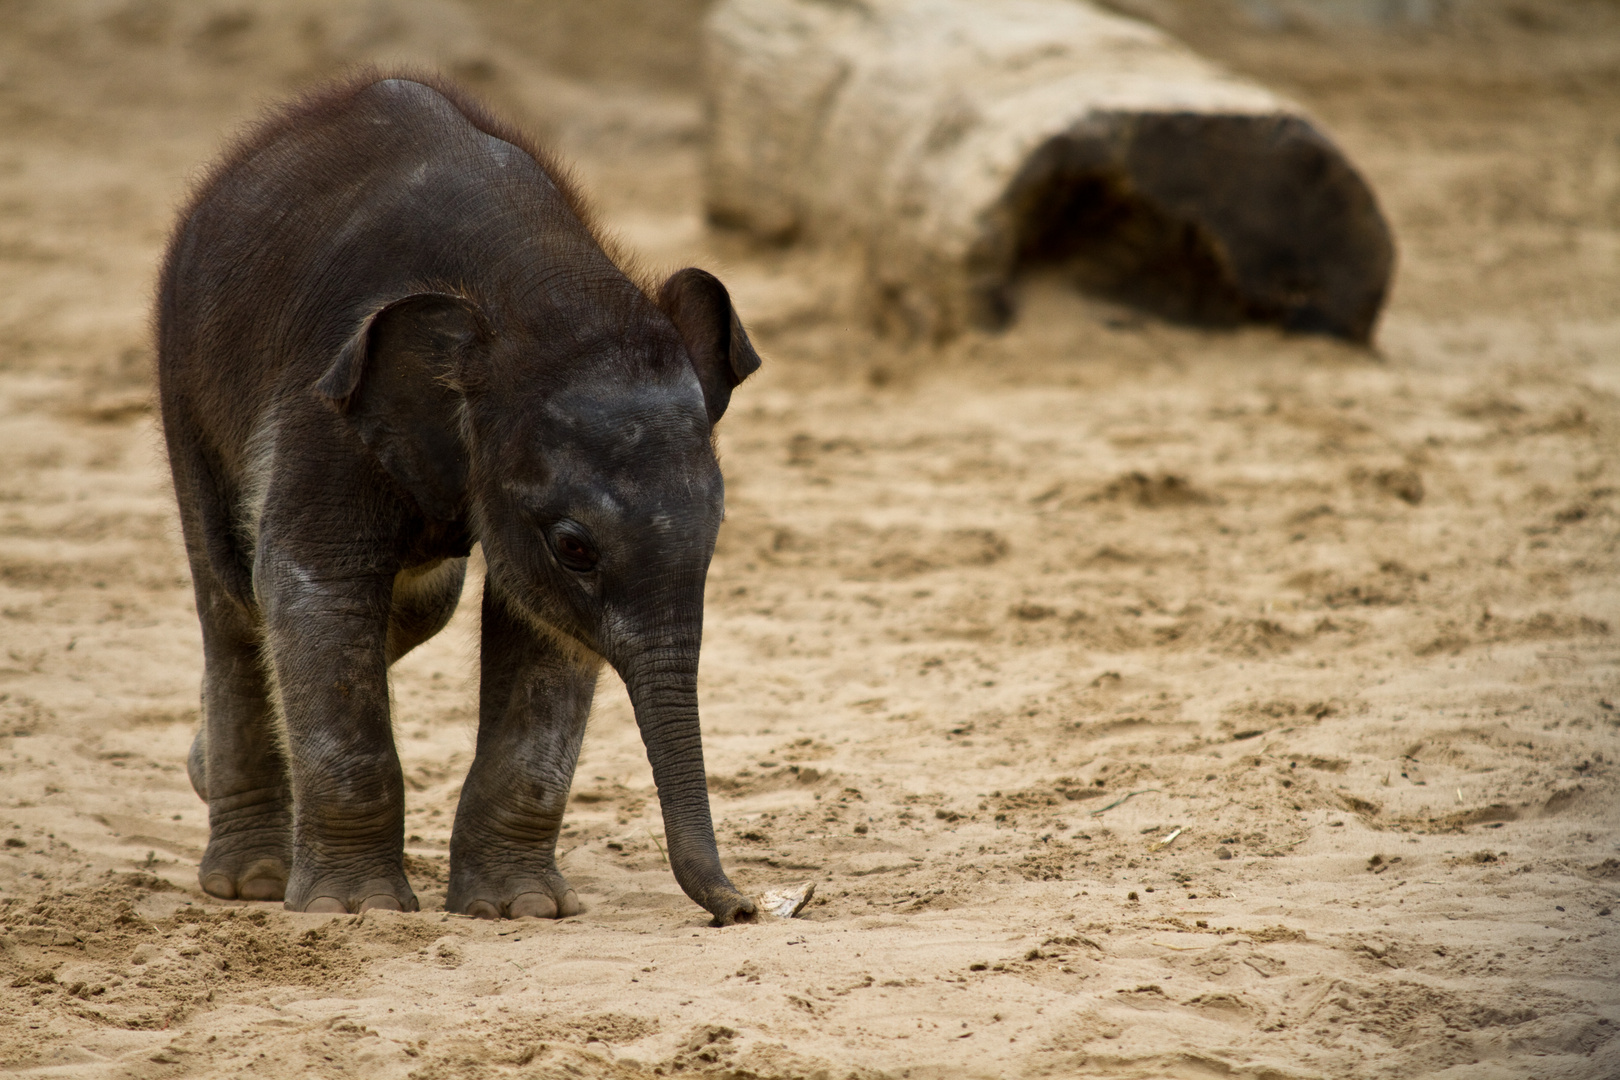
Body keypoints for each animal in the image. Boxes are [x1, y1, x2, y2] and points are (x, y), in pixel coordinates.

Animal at [154, 71, 761, 926]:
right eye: (575, 546)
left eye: (716, 530)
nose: (741, 909)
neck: (532, 282)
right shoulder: (322, 405)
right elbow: (313, 581)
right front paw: (358, 909)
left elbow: (540, 630)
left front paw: (521, 909)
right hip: (186, 382)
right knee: (233, 594)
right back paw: (250, 879)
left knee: (418, 600)